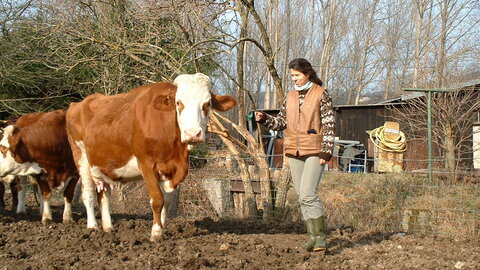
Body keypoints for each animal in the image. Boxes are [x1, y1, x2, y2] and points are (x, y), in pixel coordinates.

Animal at [65, 72, 236, 240]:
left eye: (208, 103)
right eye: (178, 103)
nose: (193, 134)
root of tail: (78, 103)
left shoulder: (171, 168)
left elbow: (167, 201)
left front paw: (162, 228)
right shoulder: (146, 164)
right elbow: (157, 199)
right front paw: (156, 232)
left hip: (102, 164)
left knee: (104, 193)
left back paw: (108, 227)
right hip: (81, 158)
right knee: (88, 193)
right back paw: (92, 227)